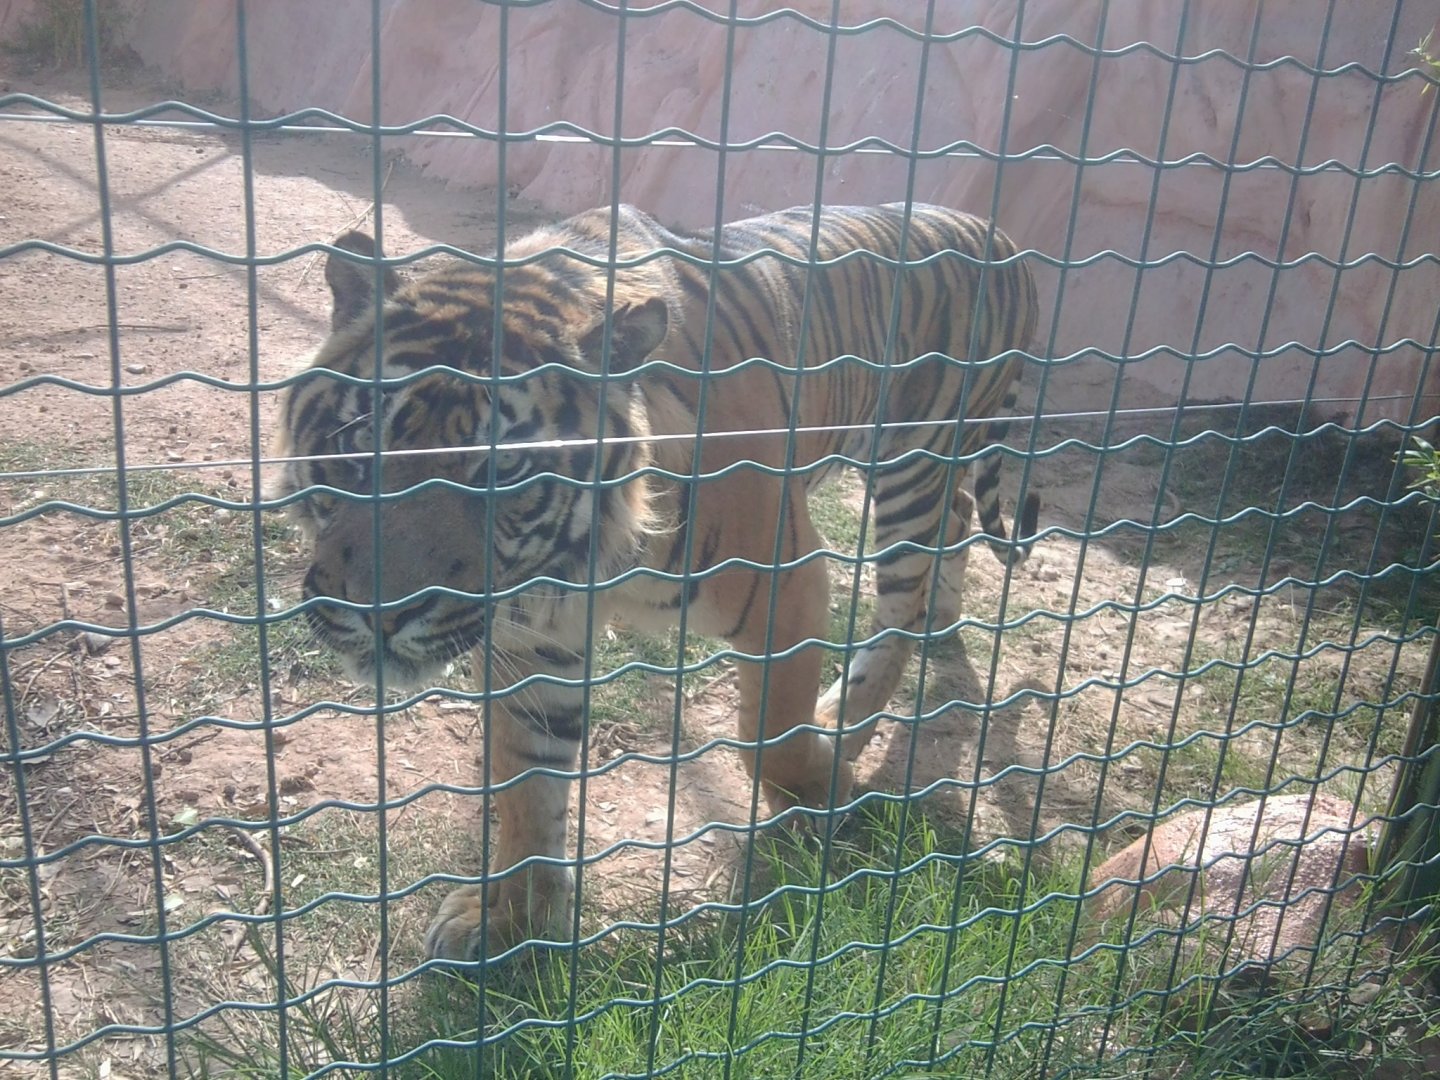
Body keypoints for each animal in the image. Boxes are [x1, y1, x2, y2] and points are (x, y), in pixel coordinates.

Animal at [269, 202, 1039, 963]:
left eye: (502, 470)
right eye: (360, 442)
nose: (381, 612)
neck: (583, 561)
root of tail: (996, 231)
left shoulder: (784, 579)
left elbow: (768, 734)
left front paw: (818, 792)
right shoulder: (533, 642)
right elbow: (528, 782)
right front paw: (511, 915)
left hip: (914, 460)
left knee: (905, 594)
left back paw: (845, 718)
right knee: (956, 523)